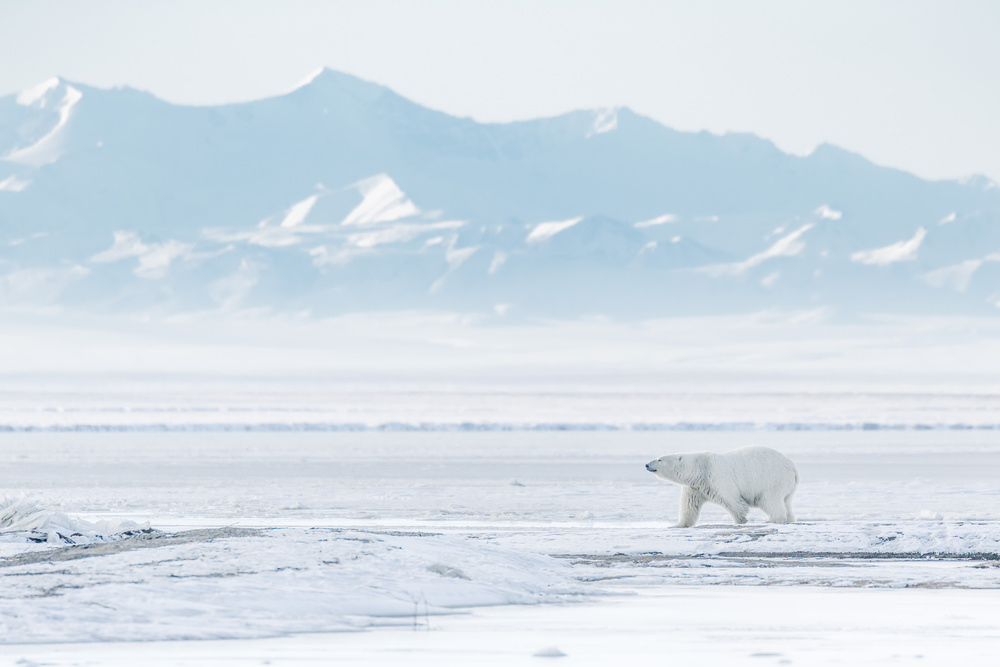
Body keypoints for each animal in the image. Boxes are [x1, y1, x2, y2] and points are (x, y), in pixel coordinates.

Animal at [648, 446, 796, 528]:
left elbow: (733, 500)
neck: (700, 468)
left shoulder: (717, 477)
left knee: (770, 500)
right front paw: (678, 524)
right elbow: (689, 506)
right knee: (786, 502)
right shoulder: (694, 487)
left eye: (659, 459)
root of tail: (793, 467)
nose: (647, 465)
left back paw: (774, 519)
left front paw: (740, 520)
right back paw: (788, 518)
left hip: (772, 479)